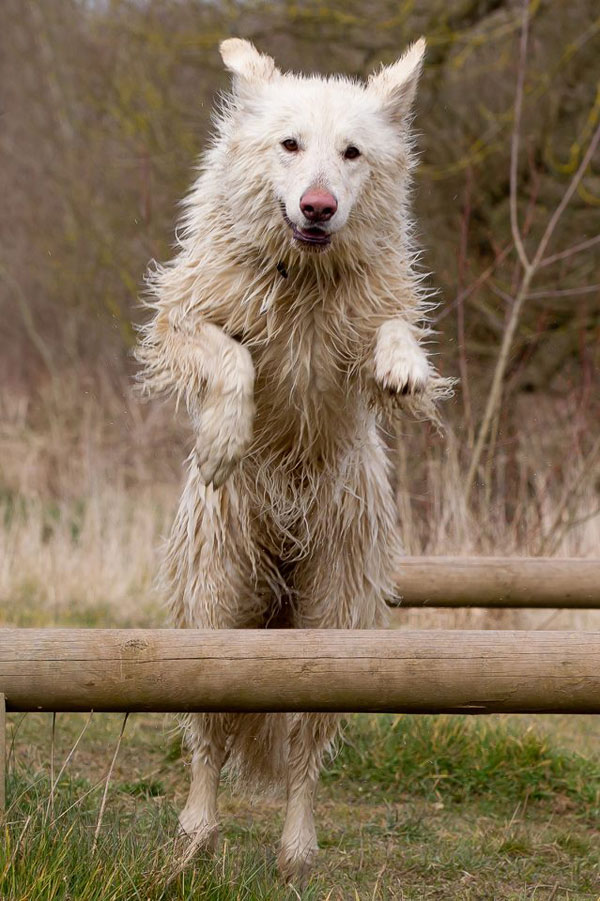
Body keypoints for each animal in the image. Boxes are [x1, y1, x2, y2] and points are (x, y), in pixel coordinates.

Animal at [138, 38, 450, 884]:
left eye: (352, 153)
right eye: (289, 144)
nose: (318, 206)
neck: (304, 275)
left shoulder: (367, 317)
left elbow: (392, 331)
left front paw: (404, 366)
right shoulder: (184, 317)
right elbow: (230, 356)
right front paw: (225, 435)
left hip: (334, 611)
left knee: (307, 744)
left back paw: (297, 849)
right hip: (216, 596)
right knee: (208, 735)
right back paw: (196, 834)